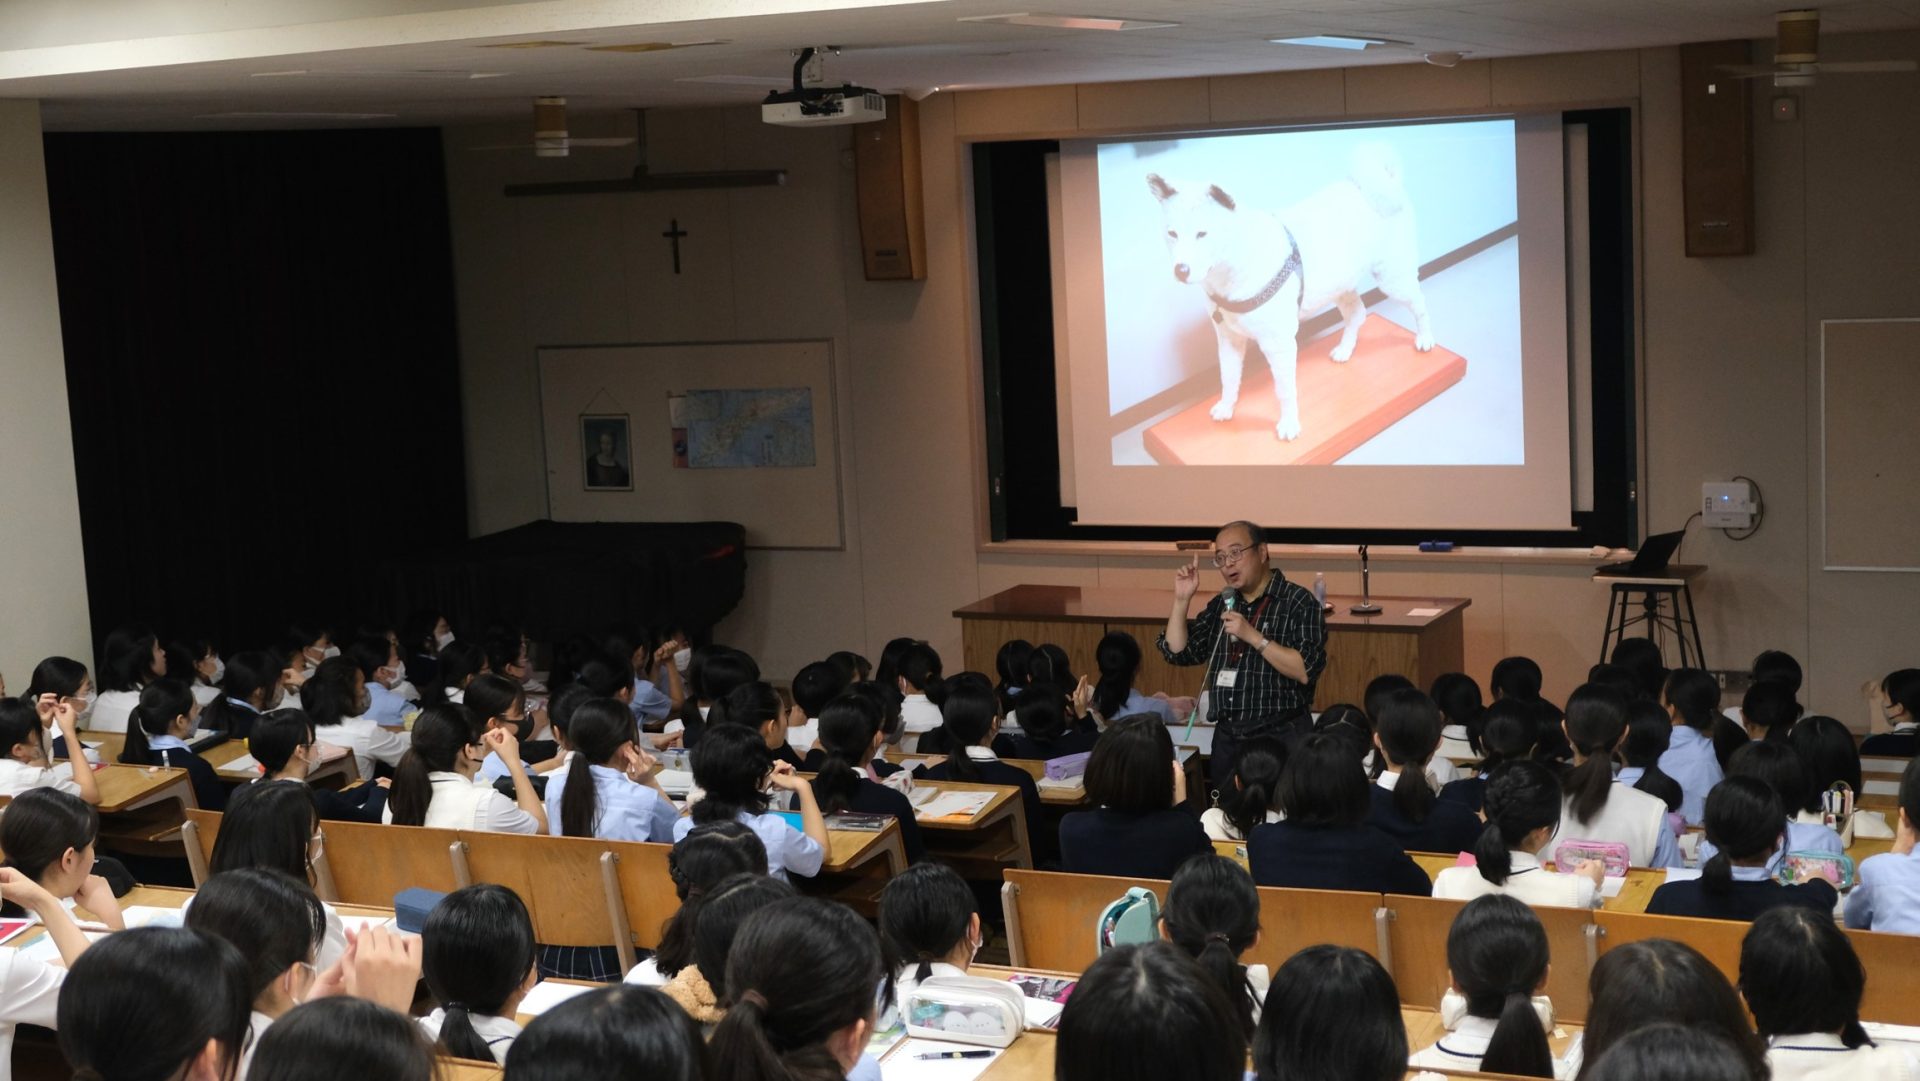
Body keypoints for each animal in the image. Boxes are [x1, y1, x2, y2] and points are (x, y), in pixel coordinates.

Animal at [1144, 145, 1436, 441]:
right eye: (1172, 234)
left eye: (1202, 234)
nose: (1181, 270)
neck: (1235, 267)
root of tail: (1382, 182)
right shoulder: (1228, 339)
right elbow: (1228, 378)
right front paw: (1227, 407)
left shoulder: (1279, 344)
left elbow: (1284, 391)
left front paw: (1289, 424)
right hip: (1338, 286)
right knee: (1357, 313)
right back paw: (1345, 349)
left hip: (1392, 278)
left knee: (1419, 304)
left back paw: (1425, 338)